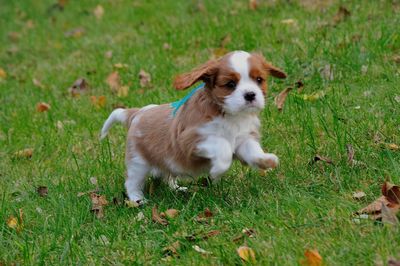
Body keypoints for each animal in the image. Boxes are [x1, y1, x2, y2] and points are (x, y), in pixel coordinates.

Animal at [101, 51, 286, 203]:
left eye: (259, 80)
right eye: (230, 84)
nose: (250, 95)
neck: (230, 115)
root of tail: (138, 112)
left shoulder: (244, 139)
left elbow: (252, 150)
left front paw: (266, 160)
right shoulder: (191, 140)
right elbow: (223, 147)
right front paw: (217, 171)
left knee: (167, 174)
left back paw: (177, 189)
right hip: (138, 162)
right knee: (131, 182)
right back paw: (138, 200)